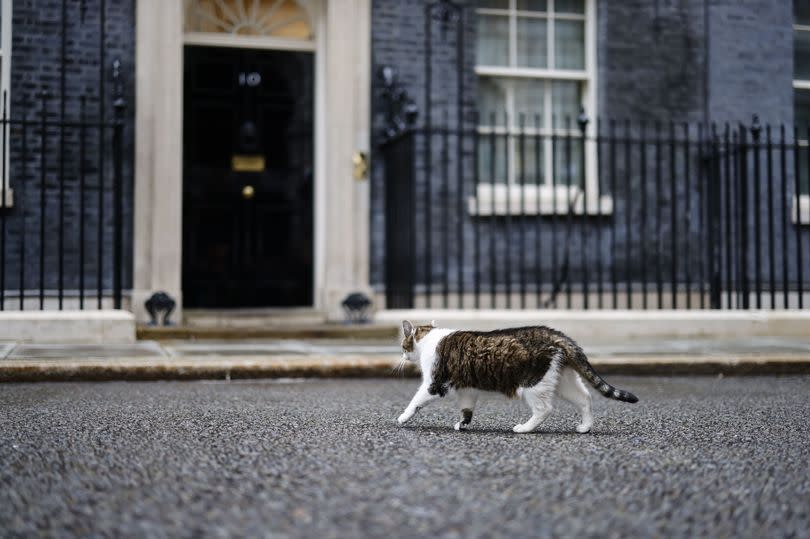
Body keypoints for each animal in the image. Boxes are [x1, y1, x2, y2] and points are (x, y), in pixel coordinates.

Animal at [398, 320, 636, 434]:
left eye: (403, 345)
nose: (402, 355)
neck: (429, 338)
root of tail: (558, 335)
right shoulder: (468, 389)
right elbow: (467, 409)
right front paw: (463, 424)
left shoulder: (435, 383)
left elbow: (415, 401)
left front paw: (402, 417)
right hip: (563, 381)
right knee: (585, 398)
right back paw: (585, 427)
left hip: (533, 384)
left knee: (544, 409)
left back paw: (524, 428)